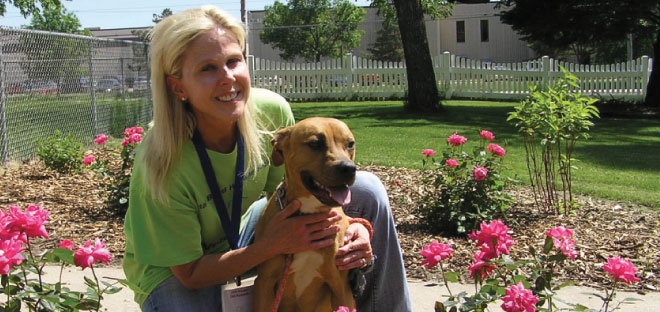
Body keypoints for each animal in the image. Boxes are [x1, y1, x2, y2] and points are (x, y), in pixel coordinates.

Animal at [253, 117, 356, 312]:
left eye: (350, 144)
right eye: (315, 143)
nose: (349, 168)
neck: (308, 212)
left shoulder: (341, 288)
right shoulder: (265, 284)